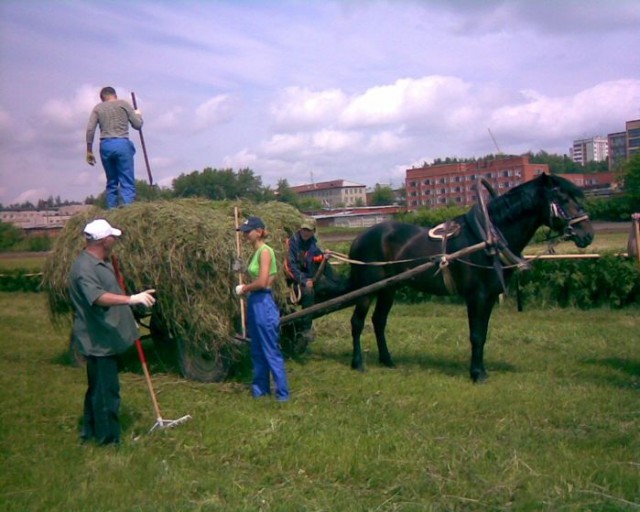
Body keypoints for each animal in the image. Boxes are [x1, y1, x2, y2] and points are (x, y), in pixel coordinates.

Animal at [348, 174, 592, 382]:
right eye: (562, 199)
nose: (587, 234)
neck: (488, 240)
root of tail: (360, 237)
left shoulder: (490, 297)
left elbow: (482, 334)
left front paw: (481, 371)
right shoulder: (477, 296)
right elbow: (475, 335)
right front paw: (476, 374)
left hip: (388, 288)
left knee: (379, 321)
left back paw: (387, 360)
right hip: (367, 288)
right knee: (357, 322)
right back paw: (358, 363)